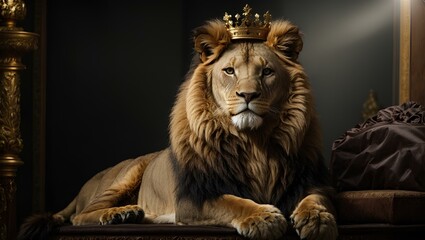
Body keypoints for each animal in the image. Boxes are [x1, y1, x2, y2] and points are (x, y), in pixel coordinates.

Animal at [18, 14, 338, 240]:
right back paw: (119, 214)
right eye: (229, 71)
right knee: (79, 216)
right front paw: (263, 218)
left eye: (267, 72)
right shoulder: (193, 197)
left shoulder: (309, 180)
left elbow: (316, 197)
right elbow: (233, 202)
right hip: (127, 174)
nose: (247, 95)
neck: (253, 143)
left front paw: (318, 220)